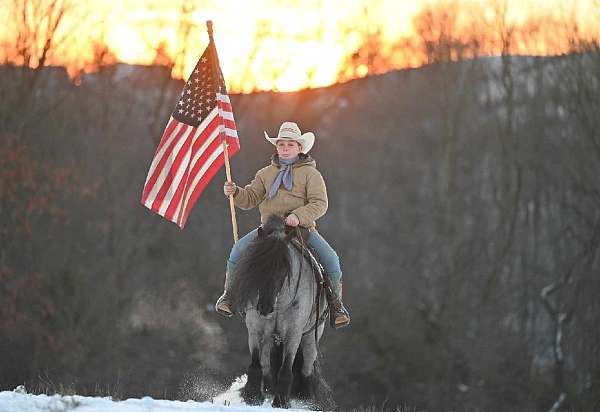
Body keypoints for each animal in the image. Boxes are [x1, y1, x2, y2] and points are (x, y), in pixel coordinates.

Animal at [230, 216, 336, 408]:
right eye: (256, 265)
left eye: (284, 270)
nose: (264, 307)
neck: (279, 301)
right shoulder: (255, 328)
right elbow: (255, 363)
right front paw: (252, 397)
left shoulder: (294, 333)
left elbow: (286, 368)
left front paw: (281, 402)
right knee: (265, 364)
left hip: (311, 336)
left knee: (307, 367)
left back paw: (305, 397)